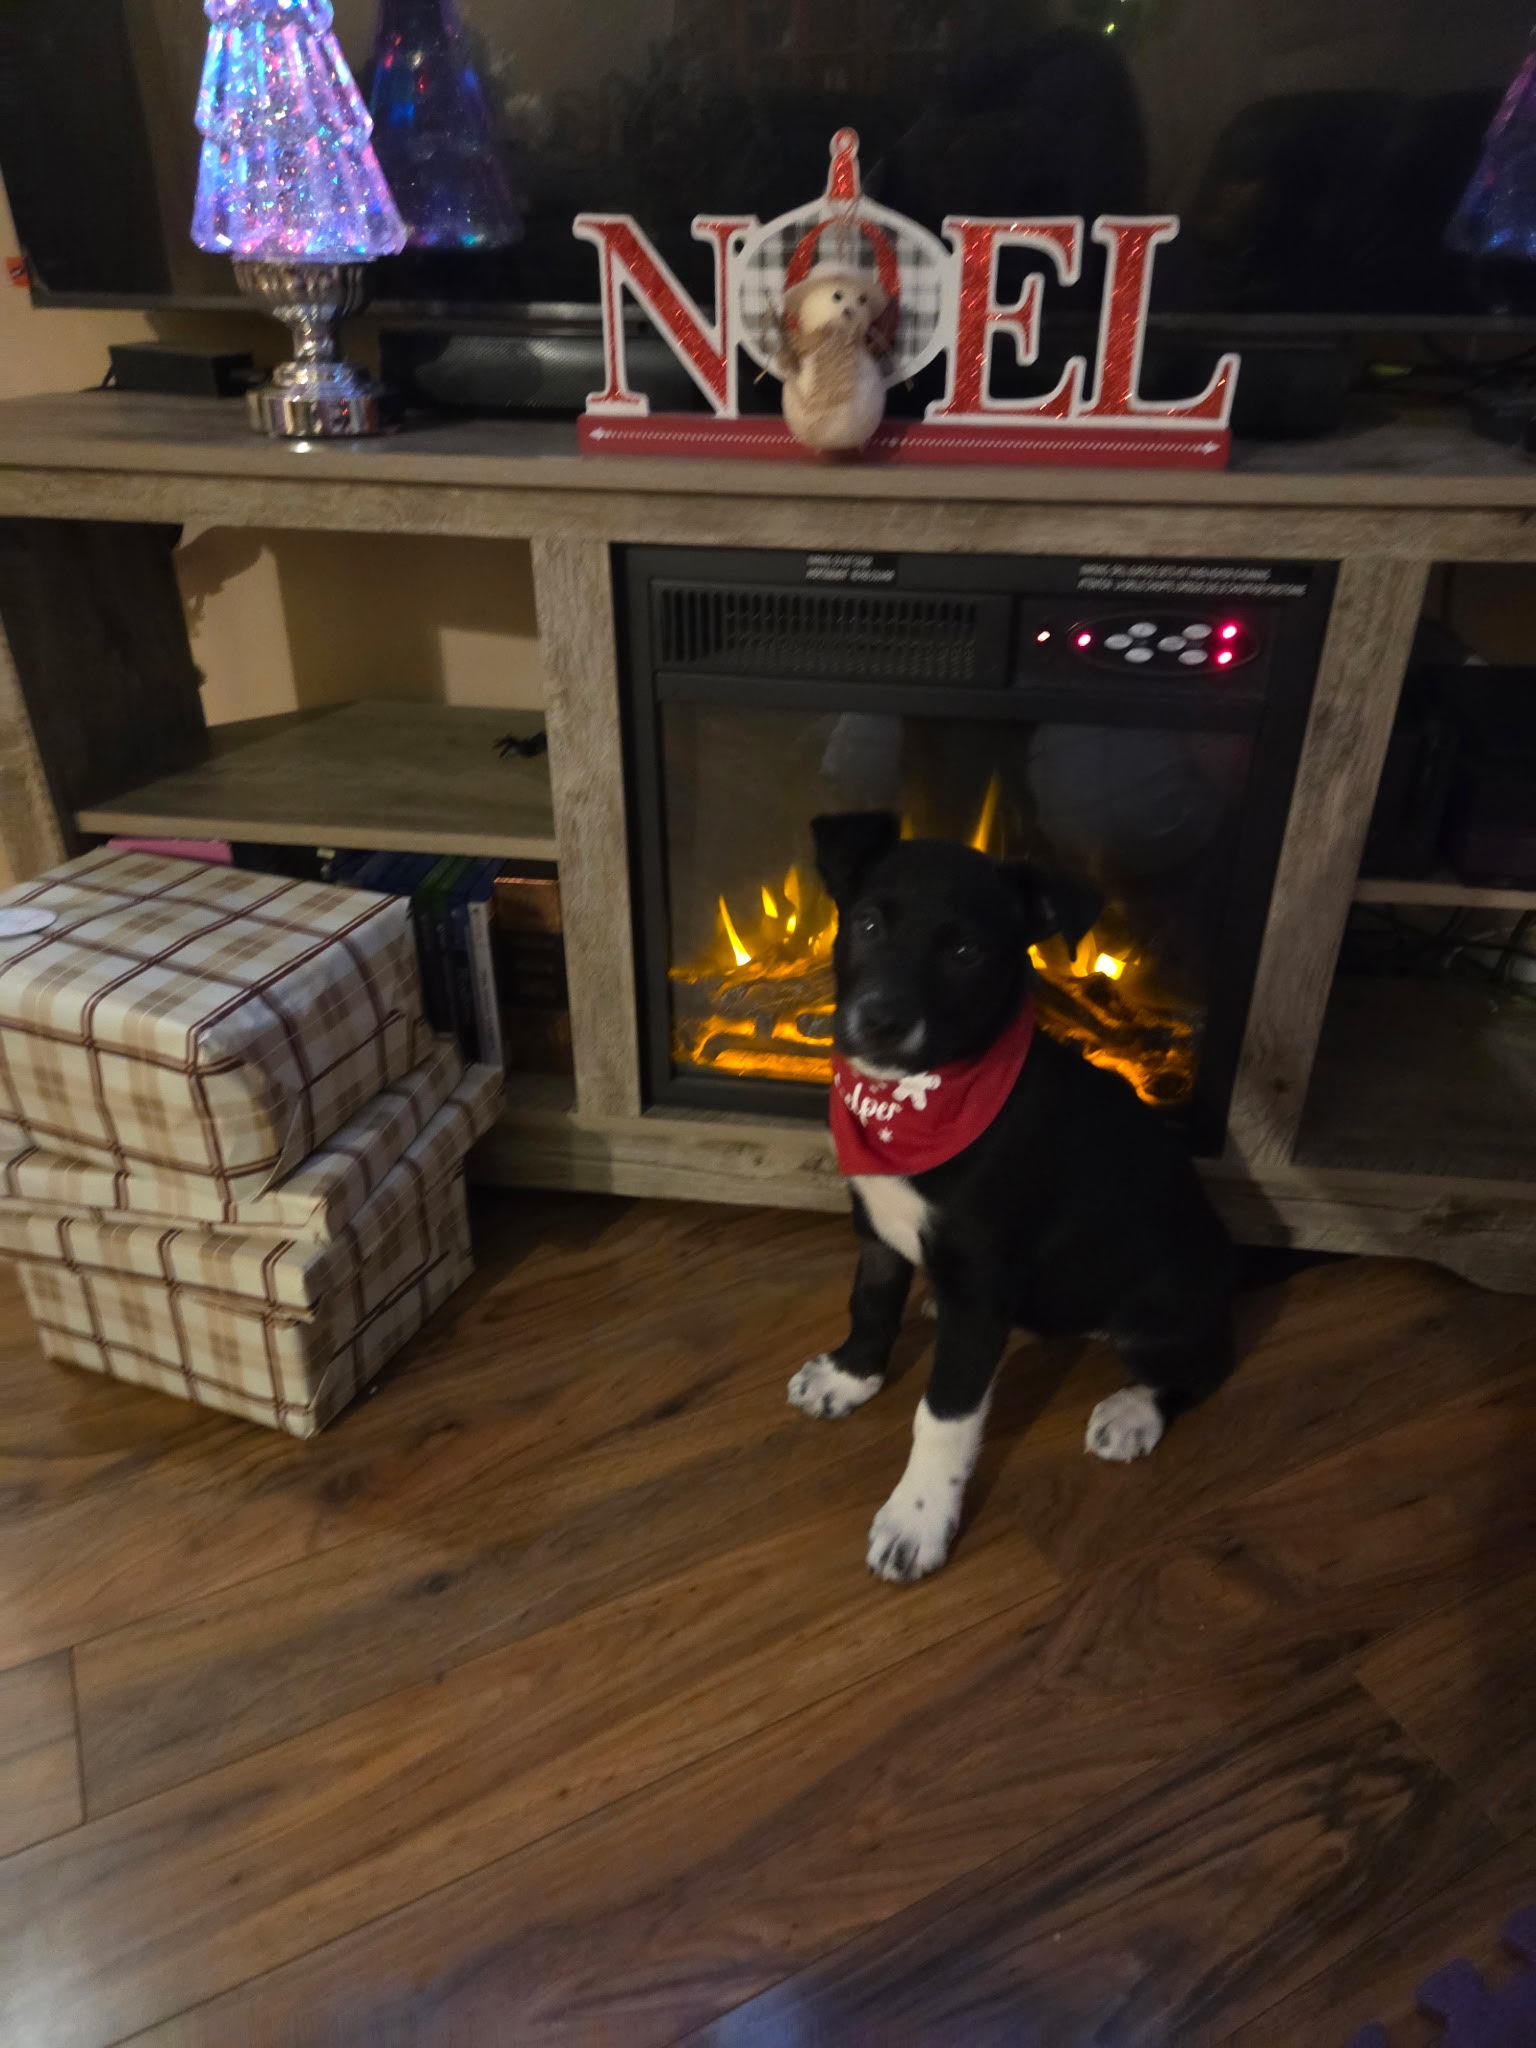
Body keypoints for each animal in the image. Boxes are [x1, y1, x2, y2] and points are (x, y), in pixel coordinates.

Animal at [790, 811, 1237, 1584]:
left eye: (967, 951)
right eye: (869, 924)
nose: (880, 1021)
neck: (918, 1097)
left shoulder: (980, 1287)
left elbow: (942, 1416)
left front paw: (917, 1521)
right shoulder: (876, 1227)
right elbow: (870, 1302)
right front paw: (850, 1377)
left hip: (1159, 1309)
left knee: (1198, 1368)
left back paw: (1133, 1412)